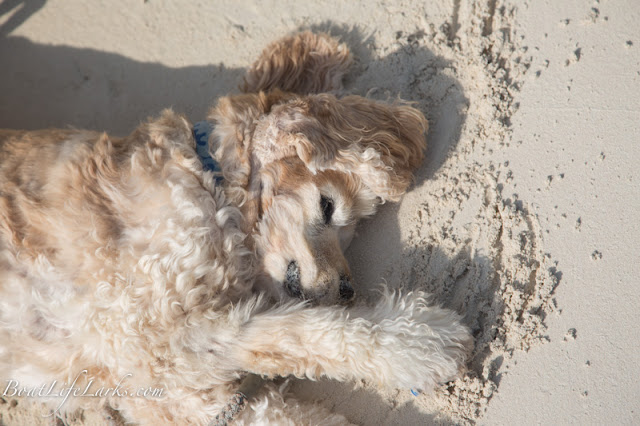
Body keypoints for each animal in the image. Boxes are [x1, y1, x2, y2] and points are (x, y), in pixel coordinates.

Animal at [0, 32, 470, 422]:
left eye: (350, 232)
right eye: (328, 207)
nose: (347, 291)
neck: (210, 182)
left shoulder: (185, 398)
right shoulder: (153, 336)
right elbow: (296, 333)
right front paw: (420, 343)